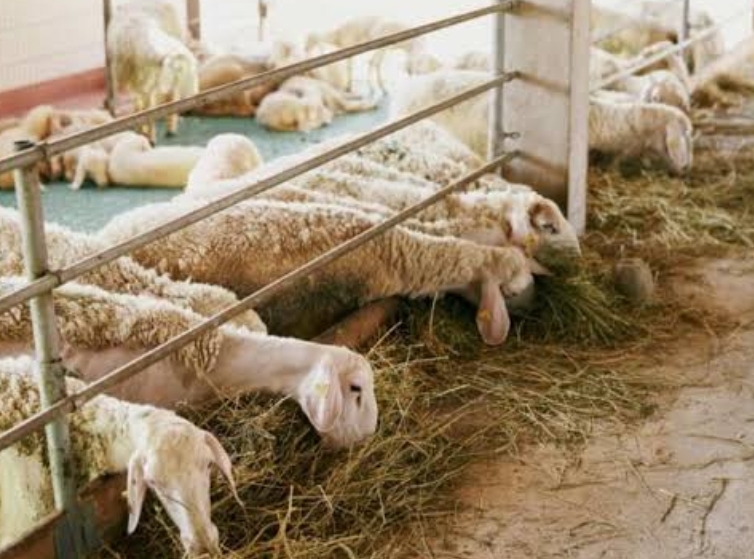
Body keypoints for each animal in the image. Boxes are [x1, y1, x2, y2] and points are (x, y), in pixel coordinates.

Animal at [107, 0, 199, 142]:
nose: (193, 94)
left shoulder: (149, 82)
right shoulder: (138, 81)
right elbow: (143, 105)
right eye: (178, 70)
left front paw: (149, 135)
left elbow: (148, 107)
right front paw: (143, 130)